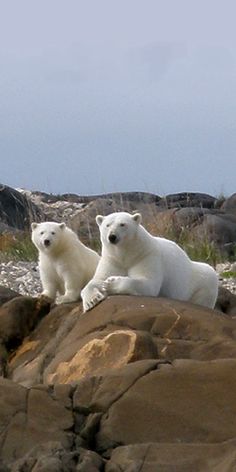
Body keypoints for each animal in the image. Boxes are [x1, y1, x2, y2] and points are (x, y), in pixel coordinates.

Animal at [80, 212, 218, 312]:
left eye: (122, 224)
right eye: (107, 225)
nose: (112, 236)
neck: (126, 254)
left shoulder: (147, 255)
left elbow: (147, 283)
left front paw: (111, 283)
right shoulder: (112, 259)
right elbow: (97, 279)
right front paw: (92, 300)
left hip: (199, 280)